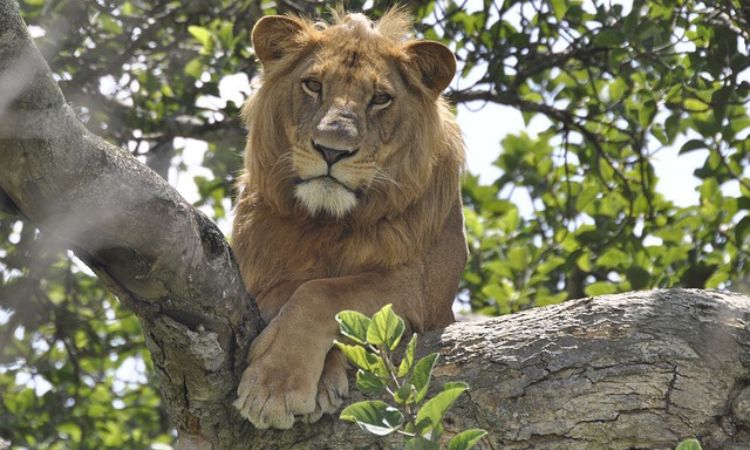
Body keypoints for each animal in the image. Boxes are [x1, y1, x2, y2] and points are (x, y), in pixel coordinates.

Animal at [231, 8, 467, 430]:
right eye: (313, 85)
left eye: (380, 98)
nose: (331, 150)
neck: (327, 221)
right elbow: (292, 287)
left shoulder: (419, 288)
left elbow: (321, 291)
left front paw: (274, 386)